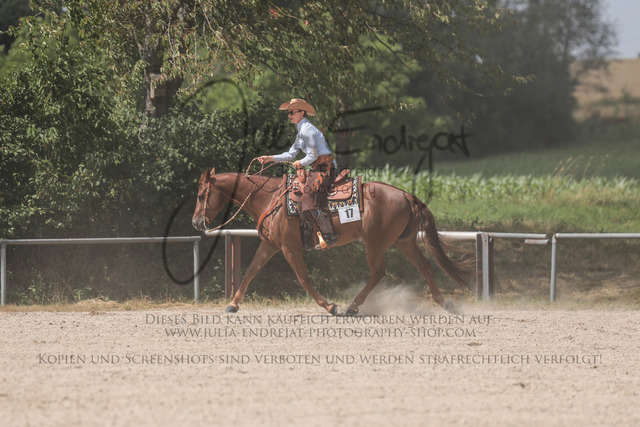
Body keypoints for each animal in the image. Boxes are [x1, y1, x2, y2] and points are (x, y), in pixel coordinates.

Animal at [192, 166, 473, 315]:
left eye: (202, 194)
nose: (196, 222)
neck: (271, 199)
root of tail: (406, 195)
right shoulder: (270, 245)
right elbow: (251, 270)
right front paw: (233, 304)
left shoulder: (289, 248)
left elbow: (303, 278)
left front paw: (329, 306)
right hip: (404, 242)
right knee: (424, 265)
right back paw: (446, 303)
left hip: (375, 243)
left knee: (379, 272)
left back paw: (351, 307)